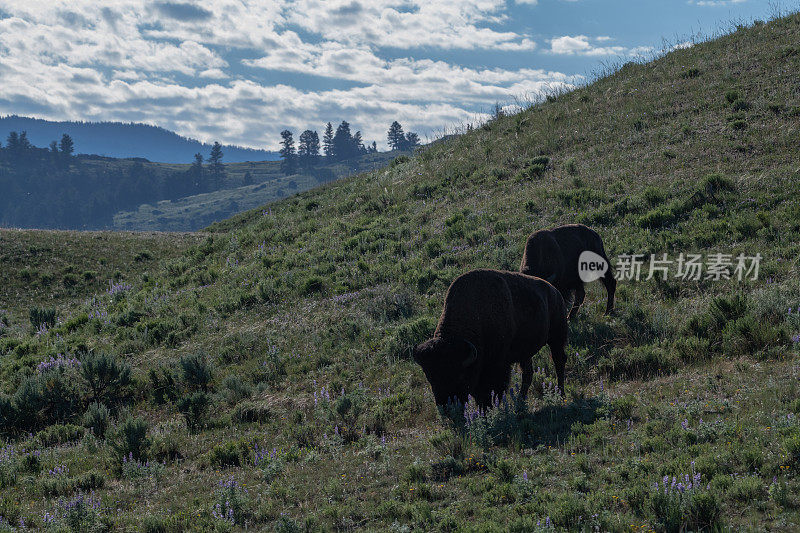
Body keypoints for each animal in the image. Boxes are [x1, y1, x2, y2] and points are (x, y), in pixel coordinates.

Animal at [412, 268, 568, 406]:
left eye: (459, 376)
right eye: (429, 376)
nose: (446, 407)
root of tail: (555, 292)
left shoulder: (497, 366)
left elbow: (492, 390)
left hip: (557, 338)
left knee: (559, 362)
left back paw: (561, 394)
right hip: (525, 353)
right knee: (528, 373)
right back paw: (520, 402)